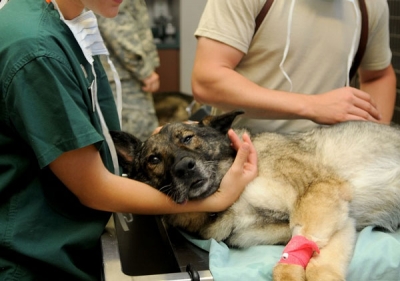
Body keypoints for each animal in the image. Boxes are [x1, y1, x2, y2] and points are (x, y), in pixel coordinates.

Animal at [111, 110, 400, 280]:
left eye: (188, 138)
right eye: (154, 159)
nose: (184, 167)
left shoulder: (319, 193)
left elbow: (301, 260)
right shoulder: (338, 219)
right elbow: (317, 261)